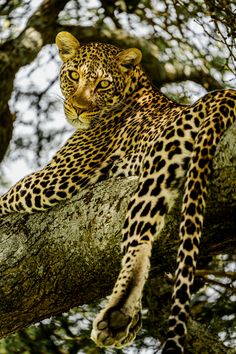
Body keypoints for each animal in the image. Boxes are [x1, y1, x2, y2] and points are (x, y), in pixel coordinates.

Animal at [0, 31, 236, 352]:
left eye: (103, 84)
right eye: (73, 75)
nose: (78, 108)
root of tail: (225, 95)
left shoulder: (56, 177)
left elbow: (8, 195)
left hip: (159, 162)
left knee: (141, 241)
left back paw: (119, 313)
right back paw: (130, 318)